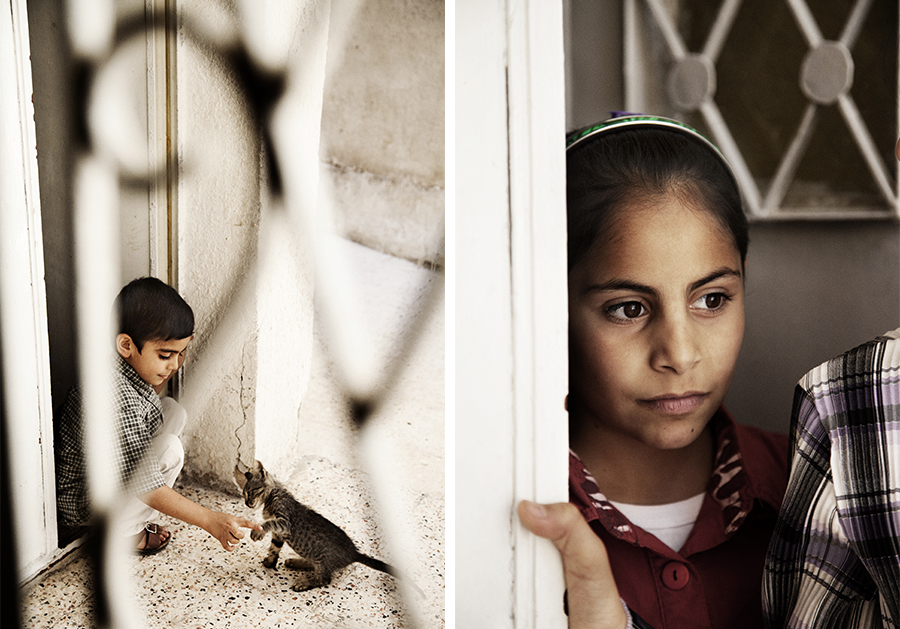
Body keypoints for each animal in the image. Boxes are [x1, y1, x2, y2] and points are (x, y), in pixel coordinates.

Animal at [236, 456, 418, 592]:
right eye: (243, 494)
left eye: (251, 492)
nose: (247, 503)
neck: (272, 496)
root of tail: (354, 553)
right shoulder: (280, 533)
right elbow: (274, 548)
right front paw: (270, 562)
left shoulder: (284, 521)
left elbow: (268, 523)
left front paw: (258, 532)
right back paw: (296, 562)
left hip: (322, 557)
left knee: (325, 579)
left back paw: (304, 582)